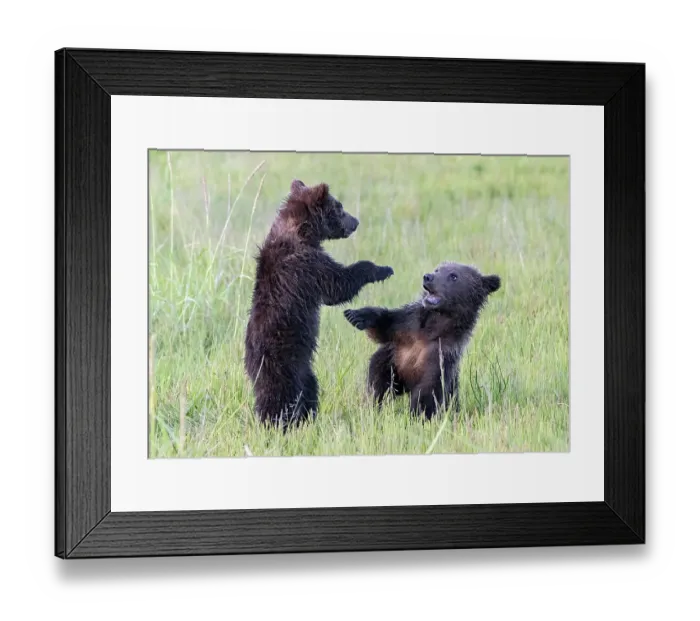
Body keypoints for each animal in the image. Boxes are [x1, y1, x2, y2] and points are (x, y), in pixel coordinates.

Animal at [244, 179, 394, 429]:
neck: (302, 231)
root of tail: (251, 363)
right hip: (284, 363)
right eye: (340, 208)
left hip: (305, 370)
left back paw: (307, 419)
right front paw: (382, 269)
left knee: (309, 390)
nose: (356, 221)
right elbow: (338, 285)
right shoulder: (306, 266)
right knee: (281, 396)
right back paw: (277, 423)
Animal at [343, 262, 501, 420]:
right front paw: (357, 315)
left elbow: (428, 389)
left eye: (454, 276)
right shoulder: (408, 326)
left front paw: (416, 416)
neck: (433, 328)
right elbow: (386, 325)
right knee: (379, 380)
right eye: (437, 269)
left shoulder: (441, 353)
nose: (428, 277)